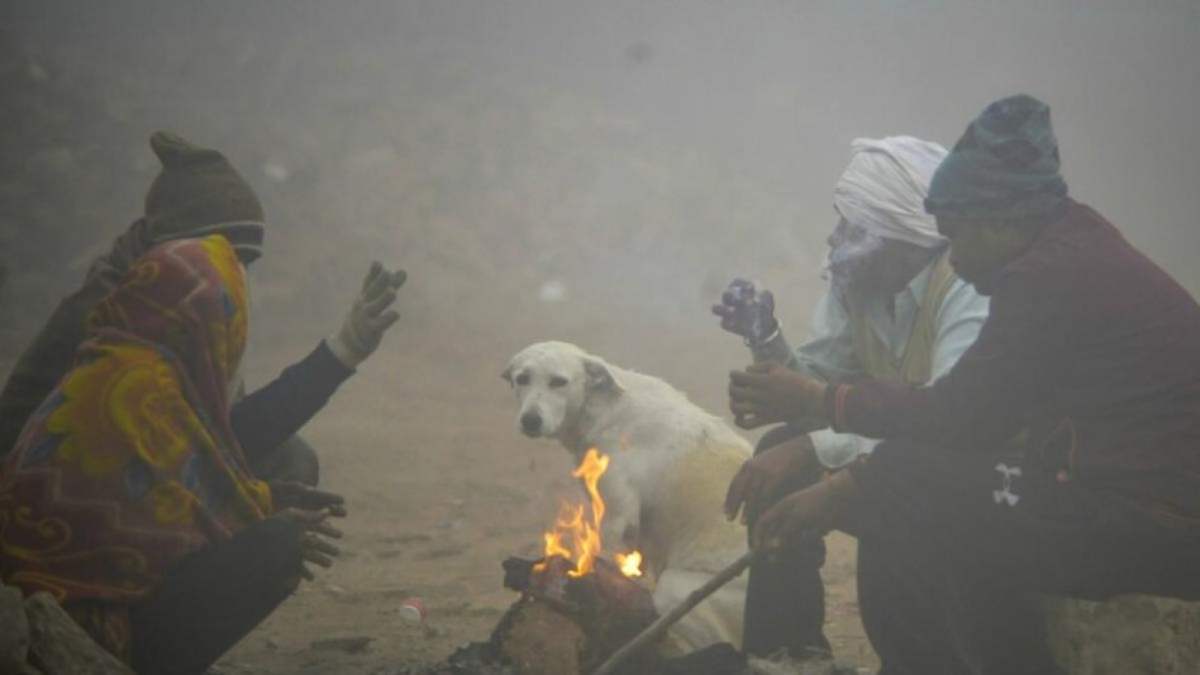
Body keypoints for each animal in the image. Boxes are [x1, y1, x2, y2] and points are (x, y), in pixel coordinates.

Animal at [504, 341, 748, 653]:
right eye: (522, 379)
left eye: (559, 382)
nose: (530, 420)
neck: (606, 409)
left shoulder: (618, 517)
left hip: (677, 591)